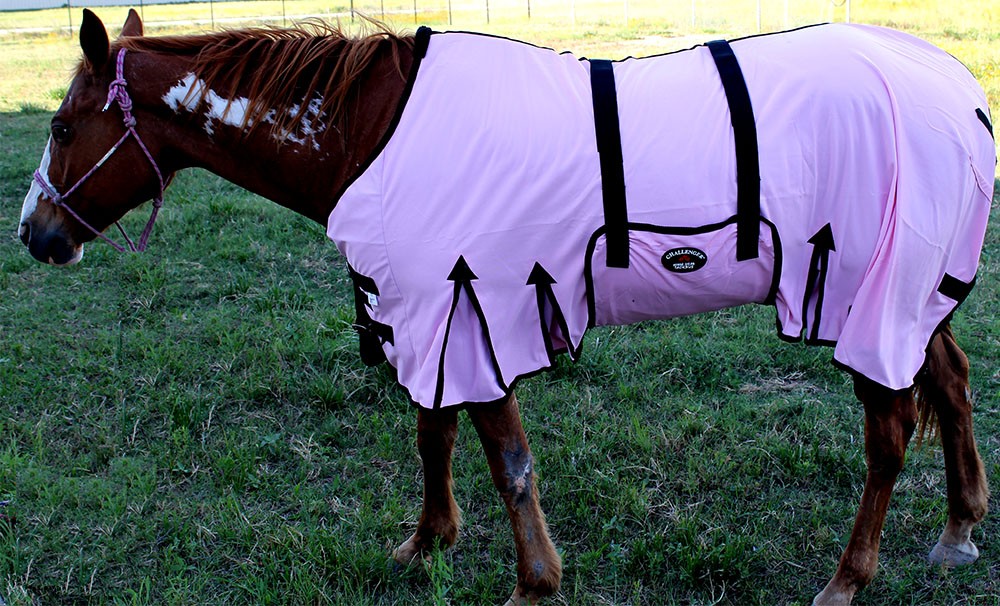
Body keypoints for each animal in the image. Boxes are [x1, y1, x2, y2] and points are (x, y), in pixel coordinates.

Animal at [18, 9, 995, 605]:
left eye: (63, 127)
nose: (36, 235)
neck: (376, 130)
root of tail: (957, 88)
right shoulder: (428, 313)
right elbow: (434, 434)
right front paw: (428, 543)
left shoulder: (477, 309)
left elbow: (507, 459)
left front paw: (533, 580)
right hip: (915, 299)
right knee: (951, 383)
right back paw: (958, 527)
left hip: (875, 298)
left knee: (889, 432)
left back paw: (849, 576)